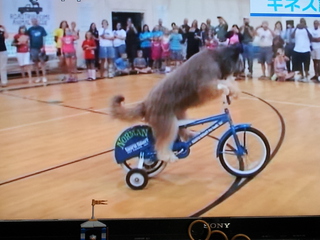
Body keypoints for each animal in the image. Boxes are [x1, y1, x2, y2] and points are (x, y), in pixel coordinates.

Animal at [110, 44, 242, 162]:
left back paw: (190, 135)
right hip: (166, 122)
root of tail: (145, 104)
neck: (217, 58)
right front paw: (232, 89)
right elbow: (220, 84)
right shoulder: (206, 84)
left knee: (182, 129)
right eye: (239, 62)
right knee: (162, 143)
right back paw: (166, 156)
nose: (239, 72)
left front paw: (233, 89)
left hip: (179, 113)